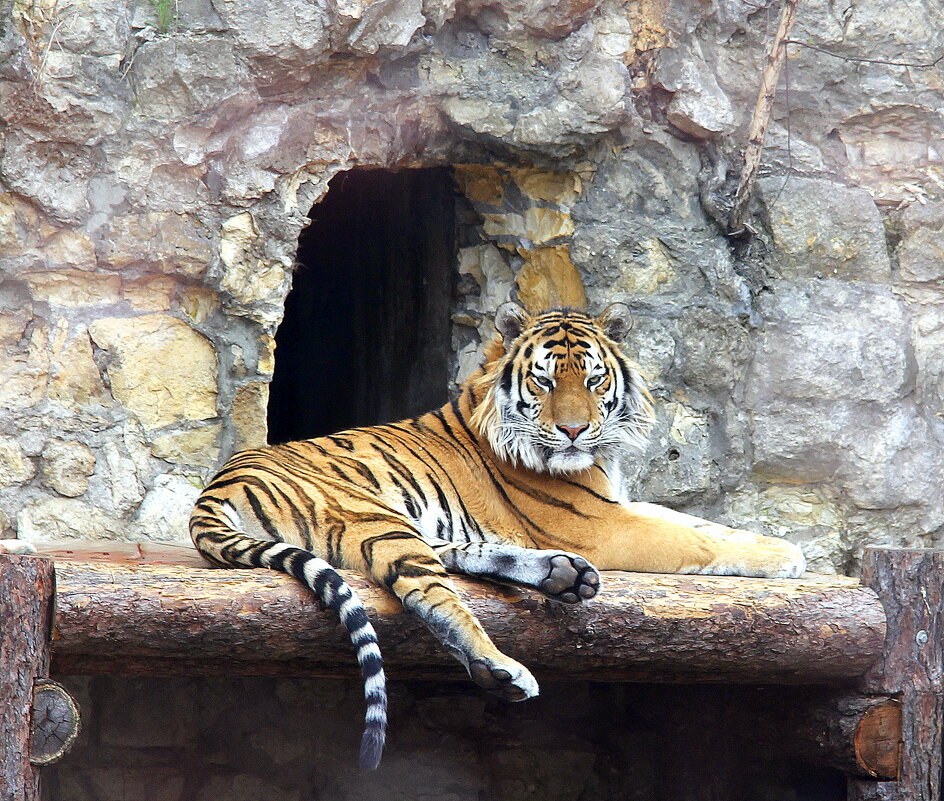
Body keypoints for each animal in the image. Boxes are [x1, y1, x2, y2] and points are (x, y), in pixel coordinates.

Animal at [190, 302, 804, 768]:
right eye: (545, 379)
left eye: (594, 378)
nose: (574, 430)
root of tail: (216, 487)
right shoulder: (602, 525)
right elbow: (696, 540)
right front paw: (788, 557)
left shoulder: (619, 506)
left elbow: (698, 523)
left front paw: (787, 549)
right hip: (376, 520)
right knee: (434, 597)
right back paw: (502, 667)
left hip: (406, 526)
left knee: (459, 558)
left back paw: (561, 575)